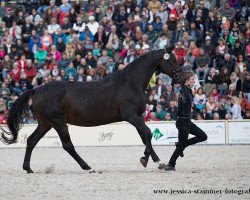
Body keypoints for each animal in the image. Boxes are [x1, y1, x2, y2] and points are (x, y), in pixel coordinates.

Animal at [0, 47, 181, 173]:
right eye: (173, 60)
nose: (181, 76)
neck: (130, 82)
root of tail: (37, 90)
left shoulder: (137, 116)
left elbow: (145, 136)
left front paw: (159, 163)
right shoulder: (131, 116)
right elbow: (148, 133)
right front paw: (145, 159)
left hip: (46, 123)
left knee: (32, 141)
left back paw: (28, 168)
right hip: (58, 122)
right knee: (67, 145)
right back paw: (88, 167)